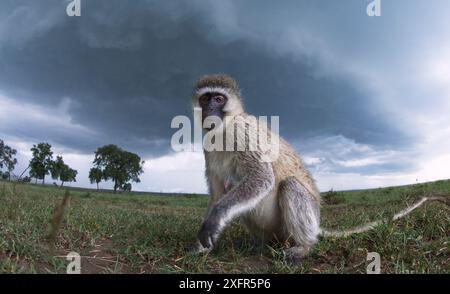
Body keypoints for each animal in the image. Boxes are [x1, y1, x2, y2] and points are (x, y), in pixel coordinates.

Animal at [190, 74, 450, 262]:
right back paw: (259, 245)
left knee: (288, 186)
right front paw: (202, 244)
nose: (210, 111)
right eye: (205, 99)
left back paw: (304, 247)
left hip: (295, 223)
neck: (224, 128)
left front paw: (214, 220)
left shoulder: (242, 134)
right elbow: (218, 193)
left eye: (219, 99)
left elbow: (261, 178)